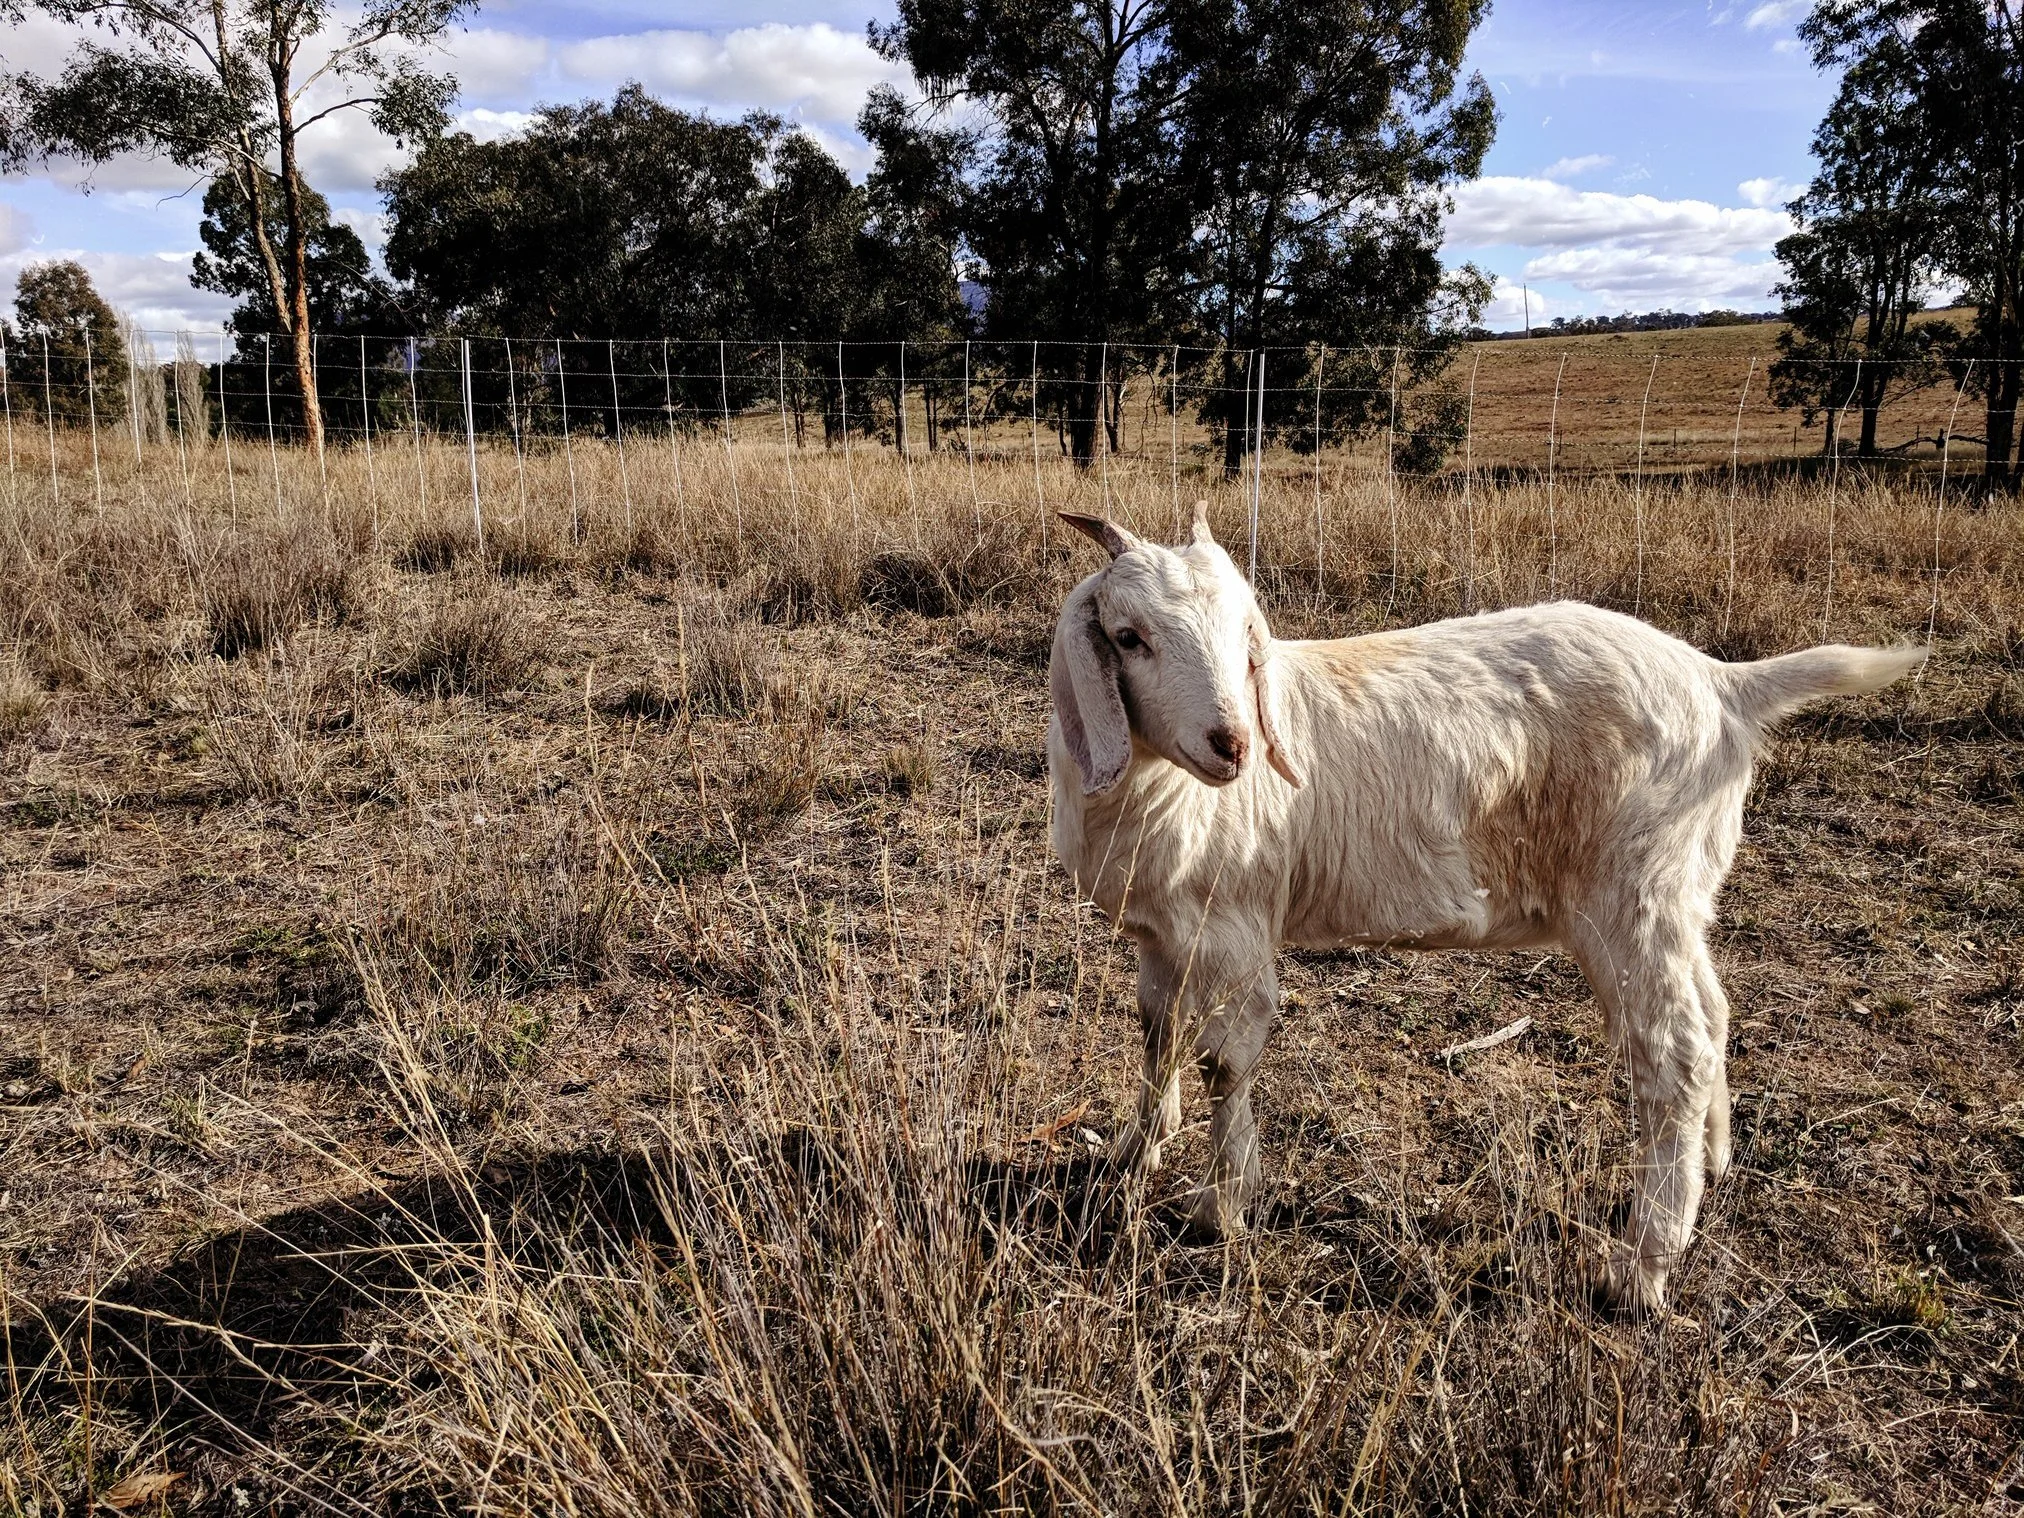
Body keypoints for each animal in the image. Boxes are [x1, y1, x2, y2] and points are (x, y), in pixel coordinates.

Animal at [1046, 504, 1925, 1310]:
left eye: (1245, 632)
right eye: (1128, 637)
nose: (1233, 745)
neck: (1155, 789)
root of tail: (1722, 682)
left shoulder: (1229, 929)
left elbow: (1224, 1060)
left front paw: (1220, 1209)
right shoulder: (1159, 932)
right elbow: (1155, 1030)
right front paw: (1132, 1150)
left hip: (1630, 894)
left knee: (1672, 1055)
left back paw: (1640, 1270)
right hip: (1682, 892)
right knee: (1711, 1017)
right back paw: (1711, 1164)